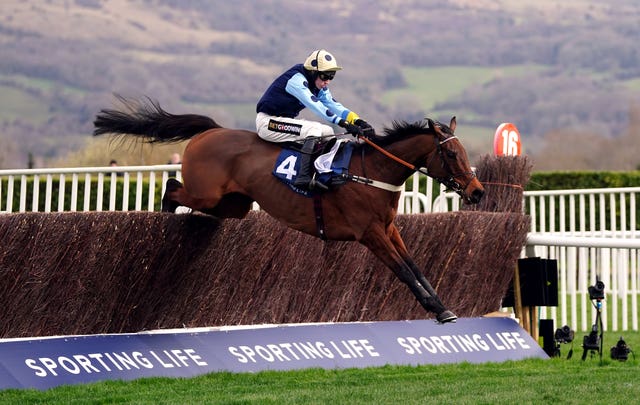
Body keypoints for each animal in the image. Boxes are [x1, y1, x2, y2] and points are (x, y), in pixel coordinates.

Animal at [92, 98, 484, 322]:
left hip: (232, 205)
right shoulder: (369, 233)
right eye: (452, 154)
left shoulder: (388, 228)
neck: (371, 170)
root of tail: (213, 131)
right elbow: (402, 270)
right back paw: (163, 216)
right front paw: (436, 310)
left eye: (464, 152)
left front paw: (441, 306)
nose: (478, 193)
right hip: (207, 193)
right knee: (173, 188)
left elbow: (415, 266)